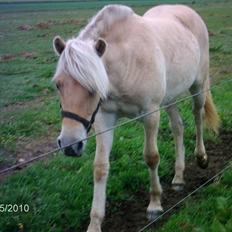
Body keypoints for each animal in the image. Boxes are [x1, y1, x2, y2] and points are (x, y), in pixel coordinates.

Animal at [52, 4, 219, 232]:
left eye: (93, 87)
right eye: (58, 84)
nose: (70, 144)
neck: (127, 61)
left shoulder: (151, 114)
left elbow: (151, 157)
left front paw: (155, 204)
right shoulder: (104, 119)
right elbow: (100, 167)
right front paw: (95, 222)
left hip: (198, 86)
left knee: (198, 117)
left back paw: (201, 157)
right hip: (170, 97)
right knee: (178, 127)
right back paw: (178, 177)